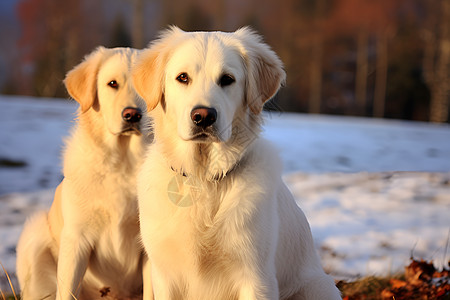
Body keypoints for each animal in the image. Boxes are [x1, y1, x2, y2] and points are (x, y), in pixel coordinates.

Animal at [134, 27, 342, 298]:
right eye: (182, 78)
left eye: (227, 79)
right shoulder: (164, 274)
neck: (203, 179)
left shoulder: (256, 276)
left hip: (319, 286)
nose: (203, 116)